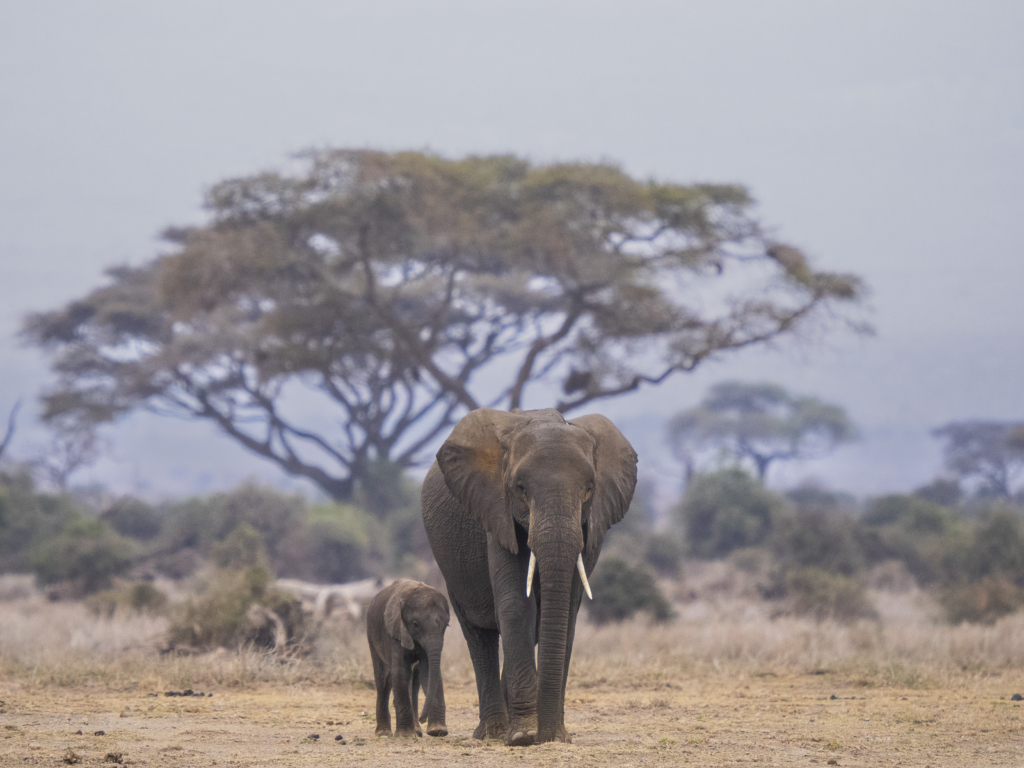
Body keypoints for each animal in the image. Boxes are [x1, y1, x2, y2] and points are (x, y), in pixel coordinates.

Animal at [366, 581, 450, 737]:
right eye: (415, 624)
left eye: (446, 625)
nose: (423, 719)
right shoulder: (394, 632)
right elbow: (400, 673)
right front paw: (405, 735)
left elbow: (428, 672)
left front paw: (437, 731)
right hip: (371, 633)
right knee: (383, 679)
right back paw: (383, 733)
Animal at [421, 409, 630, 745]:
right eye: (520, 488)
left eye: (589, 488)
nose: (548, 736)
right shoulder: (497, 515)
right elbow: (518, 606)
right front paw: (524, 736)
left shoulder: (590, 528)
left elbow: (566, 613)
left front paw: (554, 736)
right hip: (451, 564)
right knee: (478, 634)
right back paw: (493, 733)